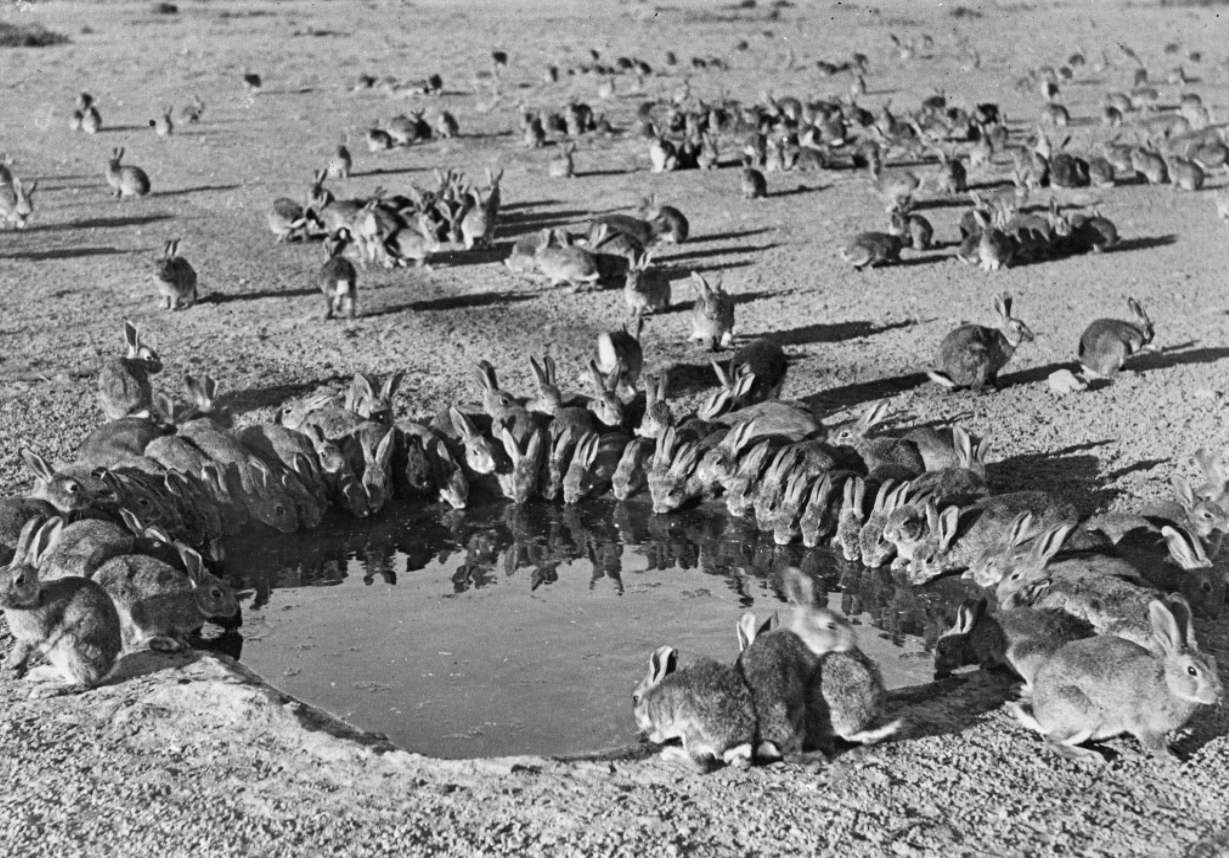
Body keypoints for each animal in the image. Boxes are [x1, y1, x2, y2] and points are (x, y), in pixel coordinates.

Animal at [0, 517, 122, 696]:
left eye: (20, 580)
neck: (35, 599)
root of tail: (107, 668)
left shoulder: (35, 632)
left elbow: (24, 647)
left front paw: (11, 664)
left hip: (71, 646)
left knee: (83, 682)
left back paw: (44, 689)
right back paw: (39, 674)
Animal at [94, 543, 239, 653]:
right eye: (216, 593)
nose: (234, 609)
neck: (194, 599)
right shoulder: (169, 621)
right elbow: (173, 633)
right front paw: (183, 643)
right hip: (129, 614)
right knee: (132, 641)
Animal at [1008, 598, 1221, 764]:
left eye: (1213, 662)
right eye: (1192, 670)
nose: (1218, 694)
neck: (1168, 685)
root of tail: (1040, 715)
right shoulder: (1144, 725)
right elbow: (1155, 745)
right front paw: (1171, 759)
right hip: (1083, 714)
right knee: (1053, 741)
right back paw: (1090, 756)